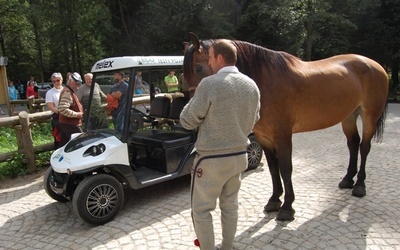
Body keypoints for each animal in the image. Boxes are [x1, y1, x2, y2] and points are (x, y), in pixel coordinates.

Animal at [184, 32, 388, 221]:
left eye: (199, 67)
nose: (191, 113)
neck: (265, 81)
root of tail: (376, 65)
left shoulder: (282, 135)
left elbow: (285, 168)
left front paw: (287, 208)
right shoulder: (264, 137)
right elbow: (273, 168)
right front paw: (274, 201)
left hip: (369, 117)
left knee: (364, 146)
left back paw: (360, 185)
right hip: (349, 117)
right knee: (353, 144)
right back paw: (347, 180)